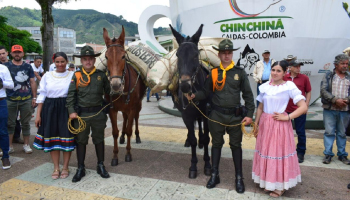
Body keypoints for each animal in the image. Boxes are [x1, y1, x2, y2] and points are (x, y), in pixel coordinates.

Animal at [102, 27, 146, 166]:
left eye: (122, 56)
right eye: (106, 56)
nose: (115, 85)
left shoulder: (132, 107)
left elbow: (129, 131)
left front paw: (128, 153)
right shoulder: (112, 109)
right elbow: (115, 132)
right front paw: (115, 156)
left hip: (138, 105)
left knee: (135, 119)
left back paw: (137, 136)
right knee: (125, 119)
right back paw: (122, 137)